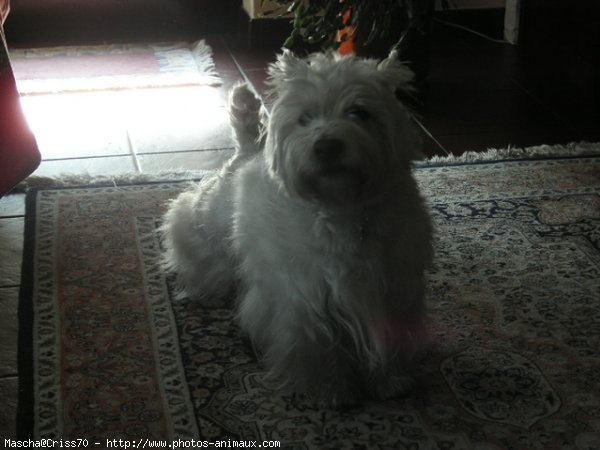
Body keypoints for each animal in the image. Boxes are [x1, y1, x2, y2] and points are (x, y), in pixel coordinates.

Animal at [162, 50, 434, 408]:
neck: (342, 209)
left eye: (360, 112)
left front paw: (392, 381)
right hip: (205, 223)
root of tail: (247, 151)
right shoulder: (304, 300)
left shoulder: (393, 289)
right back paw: (204, 287)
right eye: (304, 118)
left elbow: (391, 339)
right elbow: (317, 346)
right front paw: (333, 390)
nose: (326, 146)